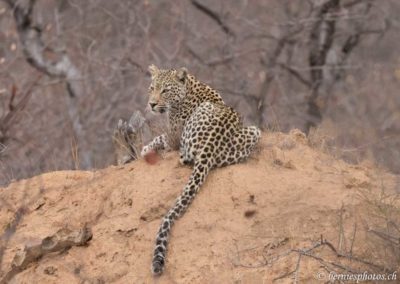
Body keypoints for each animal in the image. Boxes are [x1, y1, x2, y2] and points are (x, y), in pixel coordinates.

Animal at [142, 65, 260, 276]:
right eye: (152, 88)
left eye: (165, 90)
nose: (152, 104)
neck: (189, 86)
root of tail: (210, 145)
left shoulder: (173, 139)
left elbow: (160, 138)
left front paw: (145, 148)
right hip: (255, 131)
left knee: (183, 159)